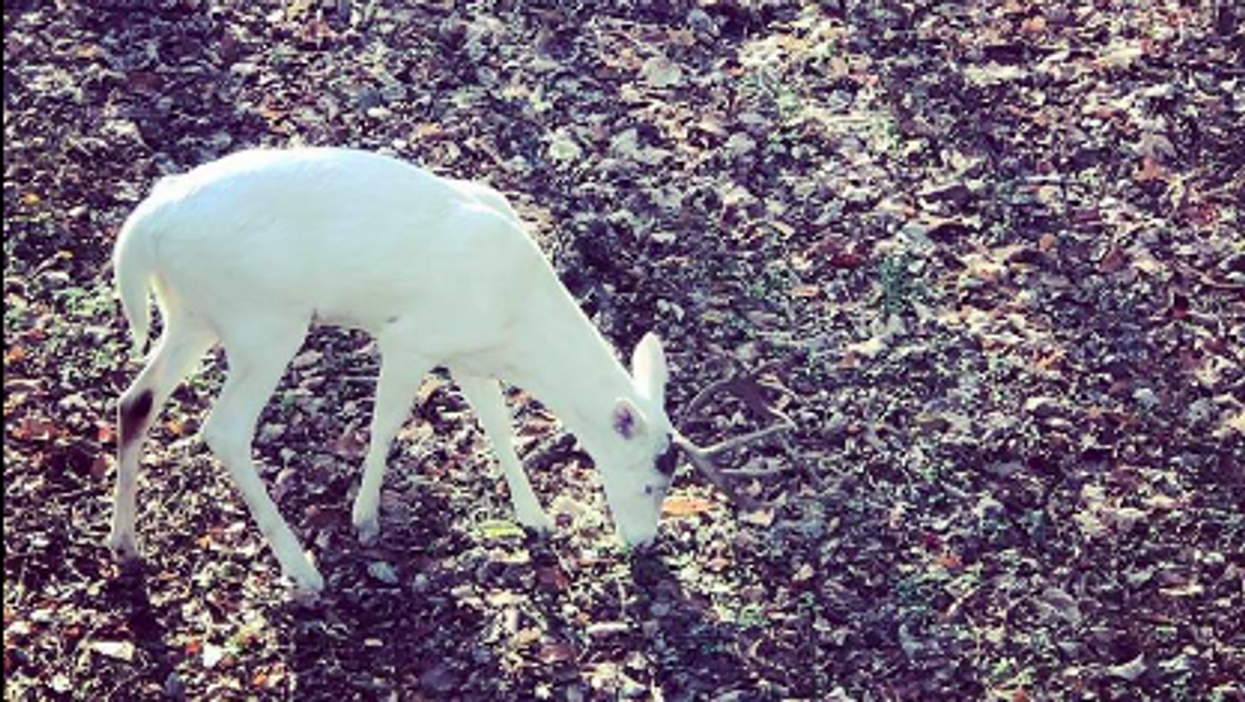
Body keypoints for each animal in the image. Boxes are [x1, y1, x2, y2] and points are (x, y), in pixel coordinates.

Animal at [107, 145, 786, 594]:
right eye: (651, 481)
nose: (644, 544)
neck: (516, 323)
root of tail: (145, 226)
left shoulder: (469, 358)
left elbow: (500, 429)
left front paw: (536, 519)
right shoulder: (411, 339)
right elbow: (385, 426)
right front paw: (365, 519)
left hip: (192, 313)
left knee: (134, 400)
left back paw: (126, 546)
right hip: (263, 321)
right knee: (222, 429)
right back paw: (303, 571)